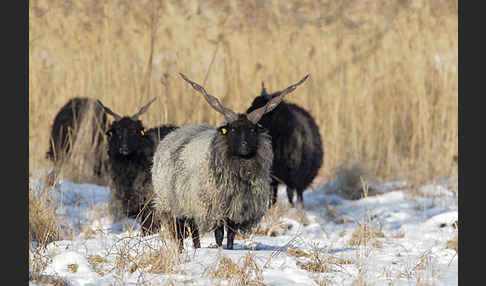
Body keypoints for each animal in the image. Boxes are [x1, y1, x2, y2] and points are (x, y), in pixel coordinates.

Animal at [152, 72, 310, 249]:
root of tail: (175, 133)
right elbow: (219, 235)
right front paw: (221, 250)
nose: (245, 145)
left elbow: (231, 235)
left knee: (193, 230)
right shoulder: (215, 209)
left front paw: (229, 249)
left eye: (252, 130)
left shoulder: (237, 209)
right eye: (233, 129)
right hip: (172, 204)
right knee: (180, 233)